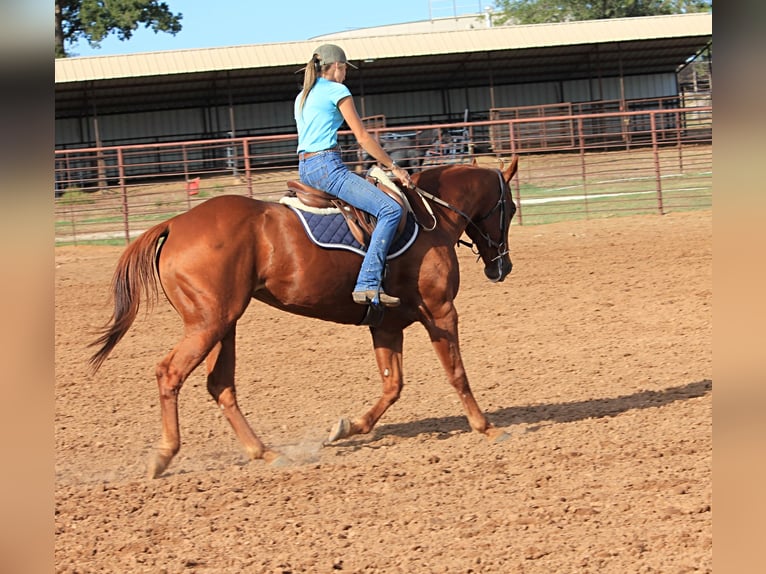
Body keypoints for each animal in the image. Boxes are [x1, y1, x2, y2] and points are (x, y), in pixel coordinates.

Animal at [90, 160, 520, 480]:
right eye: (511, 208)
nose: (502, 267)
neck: (431, 219)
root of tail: (175, 223)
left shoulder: (385, 324)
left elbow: (391, 386)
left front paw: (347, 428)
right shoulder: (441, 311)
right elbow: (456, 373)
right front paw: (486, 427)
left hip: (223, 325)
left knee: (220, 386)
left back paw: (263, 452)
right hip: (208, 323)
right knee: (170, 374)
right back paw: (164, 455)